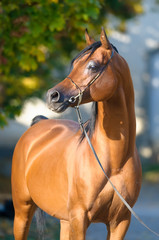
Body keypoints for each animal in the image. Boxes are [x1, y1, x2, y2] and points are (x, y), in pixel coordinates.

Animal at [11, 29, 142, 239]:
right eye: (74, 64)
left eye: (92, 66)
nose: (52, 96)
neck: (114, 162)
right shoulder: (80, 219)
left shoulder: (120, 222)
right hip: (22, 210)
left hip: (64, 220)